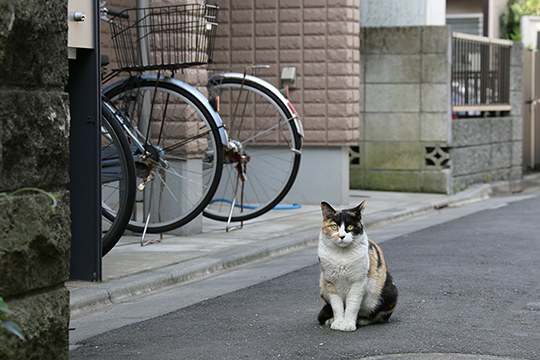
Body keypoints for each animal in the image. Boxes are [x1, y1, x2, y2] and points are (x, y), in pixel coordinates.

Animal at [316, 200, 396, 332]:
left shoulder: (358, 283)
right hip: (322, 285)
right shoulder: (331, 283)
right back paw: (331, 320)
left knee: (378, 317)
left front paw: (348, 323)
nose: (341, 236)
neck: (341, 256)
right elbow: (337, 306)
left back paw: (361, 320)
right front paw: (338, 322)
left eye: (350, 227)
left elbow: (352, 305)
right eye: (334, 226)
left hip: (388, 293)